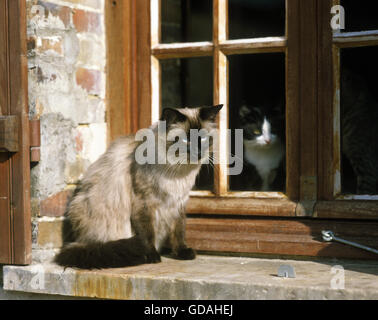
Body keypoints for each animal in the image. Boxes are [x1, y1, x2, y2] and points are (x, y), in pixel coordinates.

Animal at [54, 104, 223, 268]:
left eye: (203, 139)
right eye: (185, 140)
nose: (198, 153)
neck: (177, 173)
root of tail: (80, 241)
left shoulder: (178, 204)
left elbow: (178, 231)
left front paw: (182, 253)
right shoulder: (144, 204)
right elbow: (147, 235)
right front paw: (152, 256)